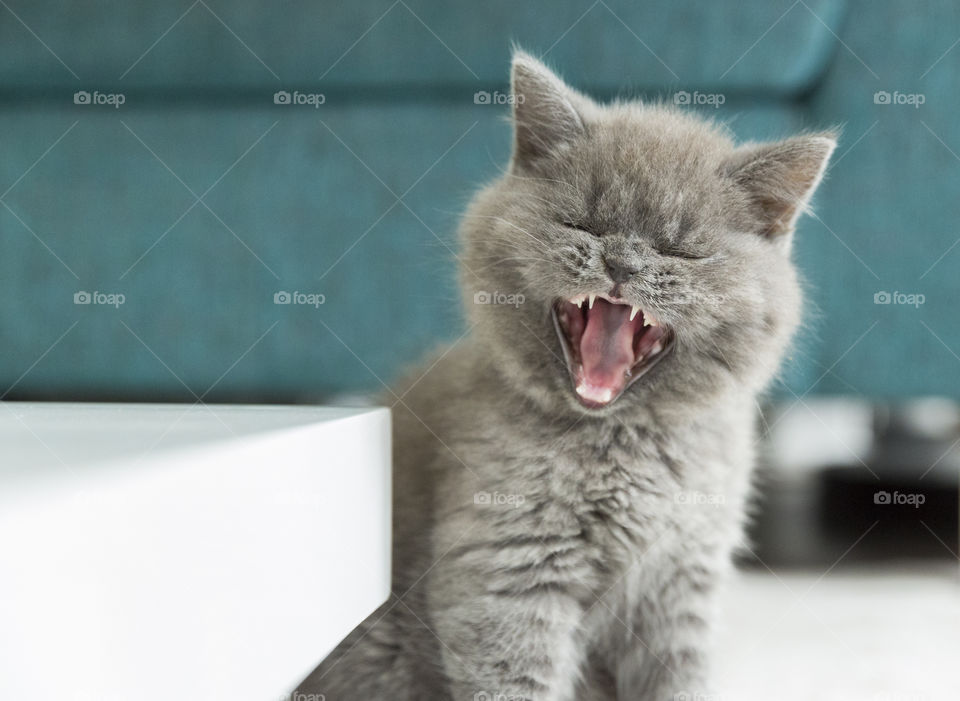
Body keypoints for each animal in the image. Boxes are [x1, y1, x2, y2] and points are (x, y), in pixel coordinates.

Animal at [304, 50, 836, 700]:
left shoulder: (682, 581)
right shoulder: (508, 573)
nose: (623, 262)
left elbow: (679, 681)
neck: (622, 445)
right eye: (582, 224)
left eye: (680, 251)